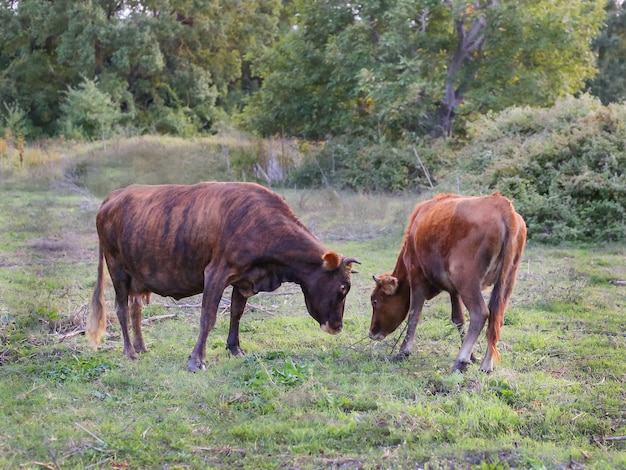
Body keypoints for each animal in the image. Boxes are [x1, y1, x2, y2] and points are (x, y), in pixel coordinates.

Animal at [88, 183, 360, 370]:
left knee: (135, 308)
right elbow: (208, 317)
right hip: (117, 268)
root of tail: (116, 194)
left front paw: (234, 348)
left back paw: (141, 347)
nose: (337, 326)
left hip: (137, 275)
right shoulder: (216, 272)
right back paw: (129, 352)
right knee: (121, 308)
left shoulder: (244, 278)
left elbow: (236, 313)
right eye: (343, 288)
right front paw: (196, 360)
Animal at [368, 193, 524, 372]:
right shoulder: (454, 290)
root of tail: (502, 204)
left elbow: (414, 314)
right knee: (497, 318)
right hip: (507, 281)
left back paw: (461, 361)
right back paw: (486, 364)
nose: (371, 333)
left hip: (467, 281)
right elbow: (459, 319)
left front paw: (404, 351)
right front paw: (472, 356)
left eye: (375, 301)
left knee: (480, 313)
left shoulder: (417, 277)